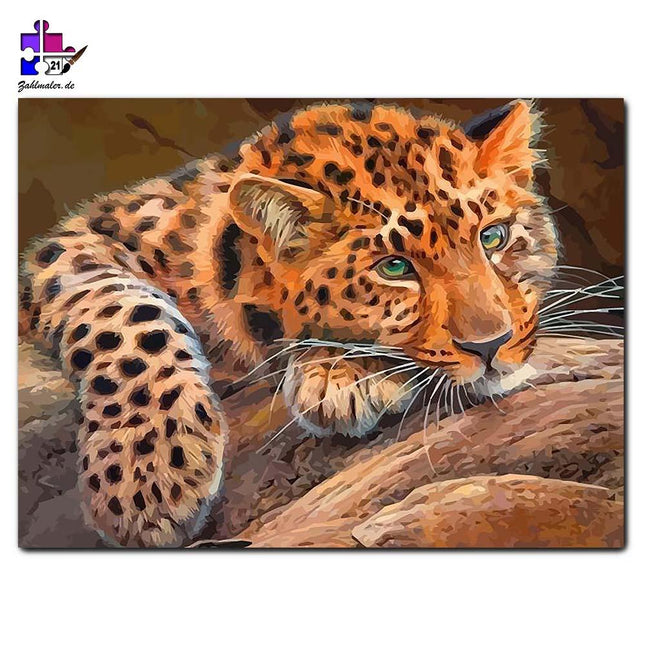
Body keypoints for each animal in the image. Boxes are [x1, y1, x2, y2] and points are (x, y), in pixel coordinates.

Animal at [19, 99, 558, 547]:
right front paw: (146, 472)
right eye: (394, 268)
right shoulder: (73, 244)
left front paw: (341, 373)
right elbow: (124, 310)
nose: (492, 345)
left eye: (494, 236)